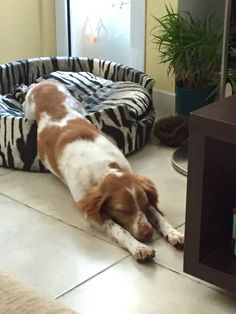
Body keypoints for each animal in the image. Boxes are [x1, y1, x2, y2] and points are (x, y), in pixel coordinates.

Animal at [22, 79, 184, 262]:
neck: (104, 168)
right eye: (122, 210)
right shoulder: (91, 211)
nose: (148, 234)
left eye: (143, 204)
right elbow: (119, 230)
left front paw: (174, 233)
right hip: (28, 111)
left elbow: (159, 217)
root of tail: (45, 83)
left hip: (78, 106)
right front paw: (139, 247)